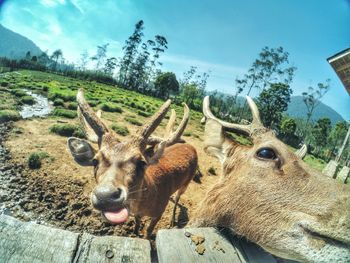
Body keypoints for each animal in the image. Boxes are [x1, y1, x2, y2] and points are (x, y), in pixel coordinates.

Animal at [65, 89, 197, 237]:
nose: (105, 196)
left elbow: (149, 231)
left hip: (187, 182)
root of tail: (191, 146)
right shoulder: (138, 214)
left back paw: (173, 221)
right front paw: (134, 232)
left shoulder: (159, 211)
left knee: (179, 199)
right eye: (95, 160)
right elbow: (137, 221)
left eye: (142, 162)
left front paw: (146, 236)